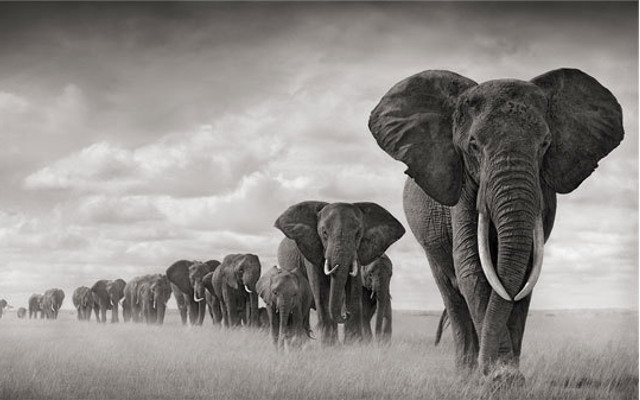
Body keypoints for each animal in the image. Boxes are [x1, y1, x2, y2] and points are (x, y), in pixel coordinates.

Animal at [274, 202, 405, 346]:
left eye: (358, 233)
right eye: (324, 233)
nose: (346, 314)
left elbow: (354, 287)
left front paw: (354, 344)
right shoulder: (311, 248)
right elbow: (321, 289)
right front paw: (330, 345)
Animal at [368, 68, 623, 377]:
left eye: (545, 145)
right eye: (474, 145)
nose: (489, 370)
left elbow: (525, 272)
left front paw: (506, 374)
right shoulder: (462, 186)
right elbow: (473, 268)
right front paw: (499, 377)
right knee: (451, 293)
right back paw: (465, 372)